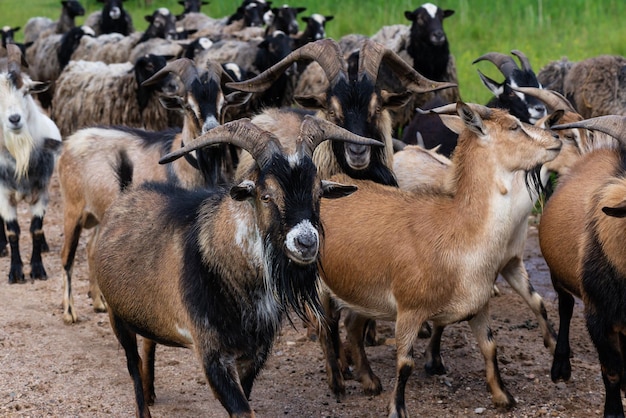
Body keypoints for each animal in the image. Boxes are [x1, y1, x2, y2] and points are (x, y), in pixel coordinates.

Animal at [0, 44, 62, 282]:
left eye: (26, 91)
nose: (14, 119)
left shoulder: (42, 191)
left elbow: (35, 229)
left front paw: (37, 269)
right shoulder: (3, 194)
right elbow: (13, 232)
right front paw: (16, 272)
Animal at [58, 56, 249, 324]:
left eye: (222, 105)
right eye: (187, 106)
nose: (212, 133)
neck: (183, 164)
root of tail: (72, 140)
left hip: (99, 212)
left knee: (91, 248)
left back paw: (99, 302)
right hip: (72, 208)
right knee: (67, 255)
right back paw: (69, 312)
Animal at [89, 113, 380, 414]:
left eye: (318, 193)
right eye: (266, 195)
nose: (306, 242)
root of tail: (124, 199)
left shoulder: (254, 354)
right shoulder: (212, 355)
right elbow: (242, 409)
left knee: (148, 342)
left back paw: (150, 393)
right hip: (116, 315)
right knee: (132, 362)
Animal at [312, 100, 560, 414]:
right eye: (514, 126)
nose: (556, 139)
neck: (458, 232)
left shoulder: (478, 305)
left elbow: (490, 347)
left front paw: (503, 397)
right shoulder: (410, 308)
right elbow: (405, 363)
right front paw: (398, 409)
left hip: (361, 292)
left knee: (352, 327)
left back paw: (370, 381)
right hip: (317, 284)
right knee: (326, 328)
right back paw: (337, 383)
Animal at [532, 115, 624, 418]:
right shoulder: (598, 316)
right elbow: (611, 370)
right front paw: (613, 412)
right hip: (558, 276)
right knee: (565, 306)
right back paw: (560, 367)